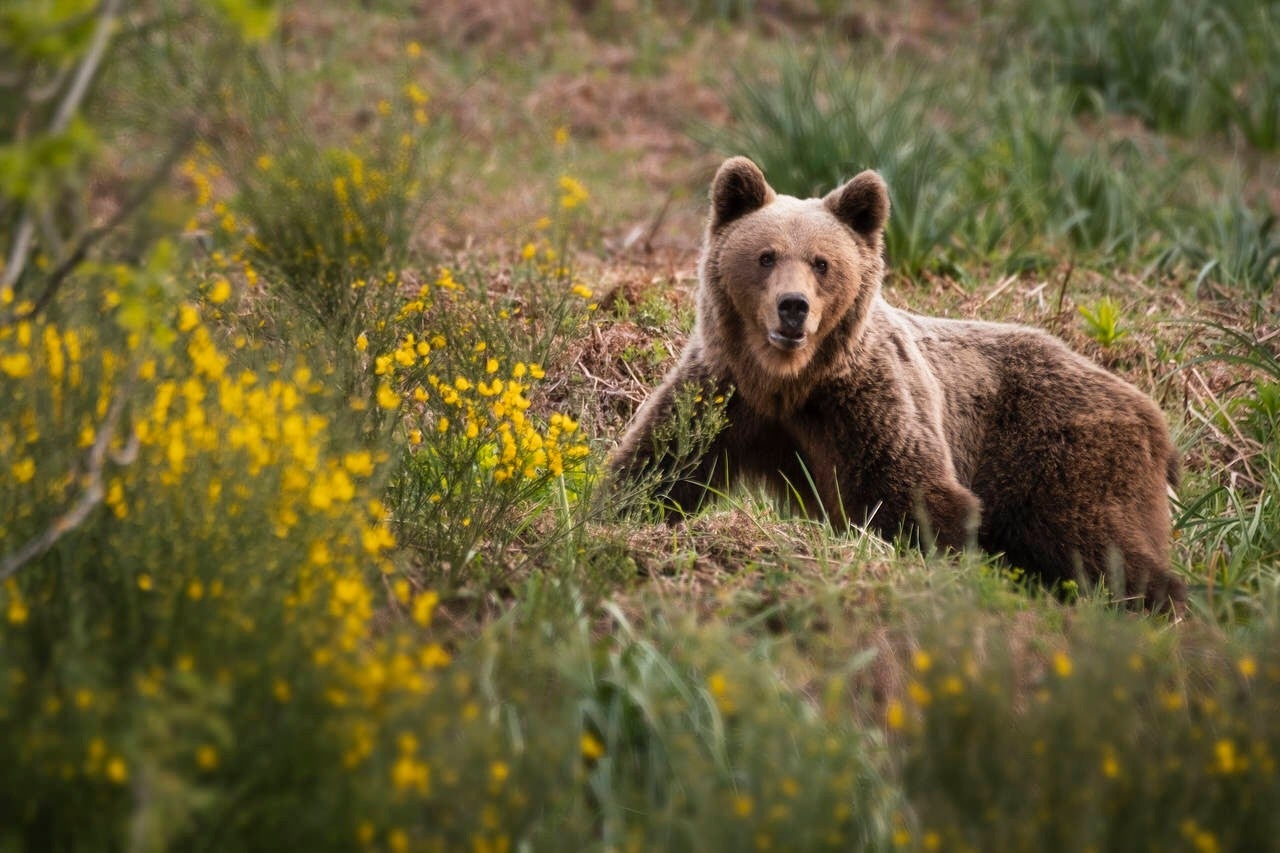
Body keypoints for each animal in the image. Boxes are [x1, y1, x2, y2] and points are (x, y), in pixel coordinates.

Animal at [608, 155, 1186, 614]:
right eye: (765, 256)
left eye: (822, 262)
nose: (793, 307)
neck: (789, 382)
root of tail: (1154, 415)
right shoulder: (724, 396)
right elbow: (660, 463)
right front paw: (617, 516)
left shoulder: (869, 402)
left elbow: (915, 491)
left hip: (1061, 456)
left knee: (1102, 543)